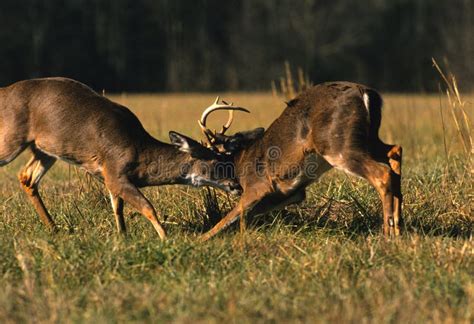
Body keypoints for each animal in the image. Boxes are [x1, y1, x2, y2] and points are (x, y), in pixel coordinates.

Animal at [0, 77, 252, 239]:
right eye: (214, 162)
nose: (237, 186)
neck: (140, 153)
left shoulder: (108, 177)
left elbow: (117, 208)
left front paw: (123, 238)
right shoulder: (115, 172)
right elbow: (148, 206)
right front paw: (165, 238)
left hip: (44, 148)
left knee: (27, 177)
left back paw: (54, 228)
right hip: (13, 137)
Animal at [198, 82, 402, 242]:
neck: (240, 162)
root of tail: (365, 93)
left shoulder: (257, 186)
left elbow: (229, 218)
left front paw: (199, 240)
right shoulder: (290, 194)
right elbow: (246, 218)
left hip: (338, 145)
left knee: (382, 173)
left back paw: (387, 233)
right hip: (367, 140)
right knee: (395, 151)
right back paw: (398, 230)